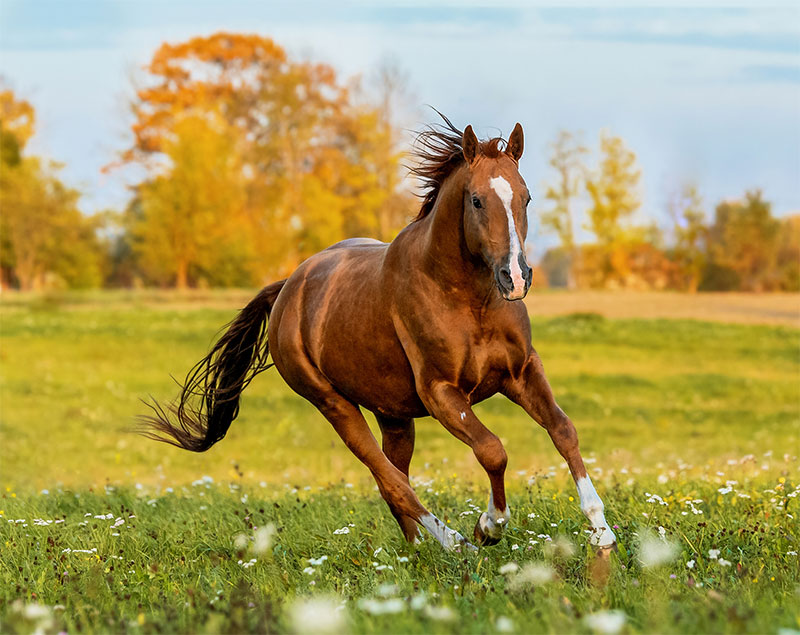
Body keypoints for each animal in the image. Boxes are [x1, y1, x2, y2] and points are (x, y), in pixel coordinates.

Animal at [141, 114, 617, 553]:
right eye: (477, 200)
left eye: (526, 197)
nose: (515, 277)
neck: (468, 299)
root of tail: (288, 288)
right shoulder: (441, 393)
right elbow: (492, 450)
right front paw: (489, 527)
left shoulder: (520, 373)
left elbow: (563, 429)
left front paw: (602, 533)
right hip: (334, 405)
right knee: (391, 481)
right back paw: (455, 544)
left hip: (393, 415)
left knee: (395, 477)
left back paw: (417, 550)